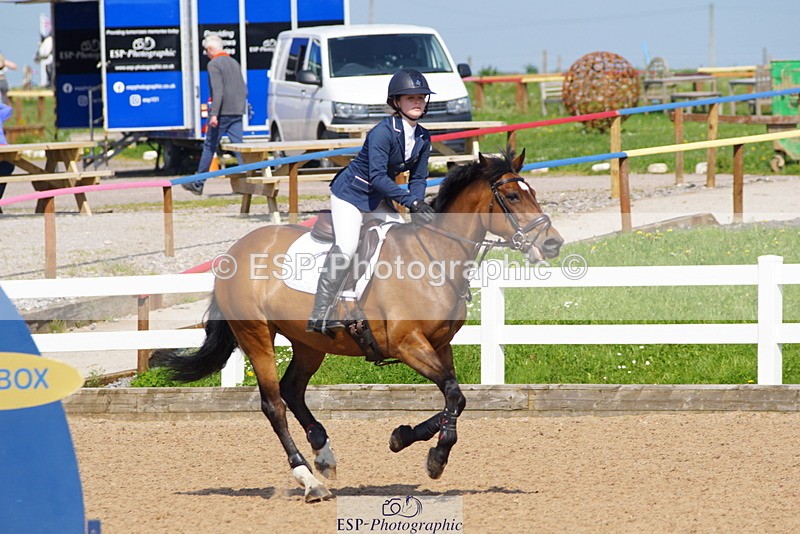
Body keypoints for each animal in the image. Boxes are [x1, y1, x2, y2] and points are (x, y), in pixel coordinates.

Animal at [158, 148, 563, 502]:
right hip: (256, 334)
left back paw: (324, 454)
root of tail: (233, 252)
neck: (434, 256)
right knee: (274, 404)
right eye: (512, 196)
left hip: (309, 342)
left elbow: (456, 397)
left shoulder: (440, 344)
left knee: (293, 390)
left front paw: (403, 437)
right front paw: (436, 458)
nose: (553, 243)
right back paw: (309, 480)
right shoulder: (407, 343)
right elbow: (453, 393)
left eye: (532, 193)